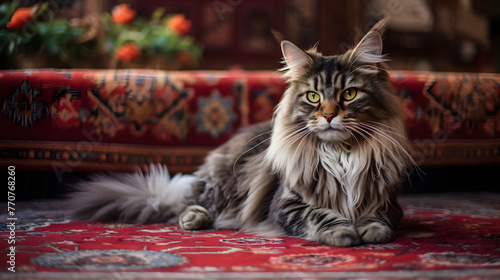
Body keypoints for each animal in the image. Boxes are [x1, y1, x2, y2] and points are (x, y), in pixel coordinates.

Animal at [70, 19, 414, 245]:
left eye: (349, 94)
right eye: (313, 97)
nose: (329, 116)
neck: (341, 154)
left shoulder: (388, 200)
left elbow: (380, 217)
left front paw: (371, 229)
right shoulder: (286, 204)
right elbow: (321, 216)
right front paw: (344, 232)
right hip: (222, 184)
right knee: (186, 206)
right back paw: (195, 218)